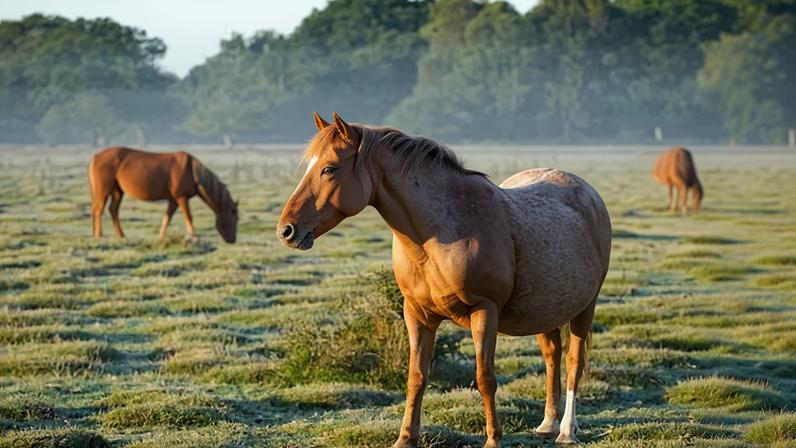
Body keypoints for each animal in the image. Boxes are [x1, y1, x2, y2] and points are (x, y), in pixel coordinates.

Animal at [88, 147, 238, 243]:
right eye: (234, 218)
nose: (232, 240)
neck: (191, 170)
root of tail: (96, 157)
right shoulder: (181, 198)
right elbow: (189, 217)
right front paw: (194, 236)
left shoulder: (173, 201)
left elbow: (167, 218)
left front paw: (160, 237)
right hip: (104, 190)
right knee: (98, 210)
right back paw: (98, 235)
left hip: (117, 192)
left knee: (112, 210)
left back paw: (121, 236)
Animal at [276, 112, 612, 447]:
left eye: (329, 168)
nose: (286, 230)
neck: (438, 235)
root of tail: (590, 194)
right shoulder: (417, 314)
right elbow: (416, 377)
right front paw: (405, 437)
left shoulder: (484, 311)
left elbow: (485, 377)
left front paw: (493, 439)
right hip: (545, 311)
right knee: (552, 356)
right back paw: (547, 423)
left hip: (586, 308)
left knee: (573, 362)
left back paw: (566, 430)